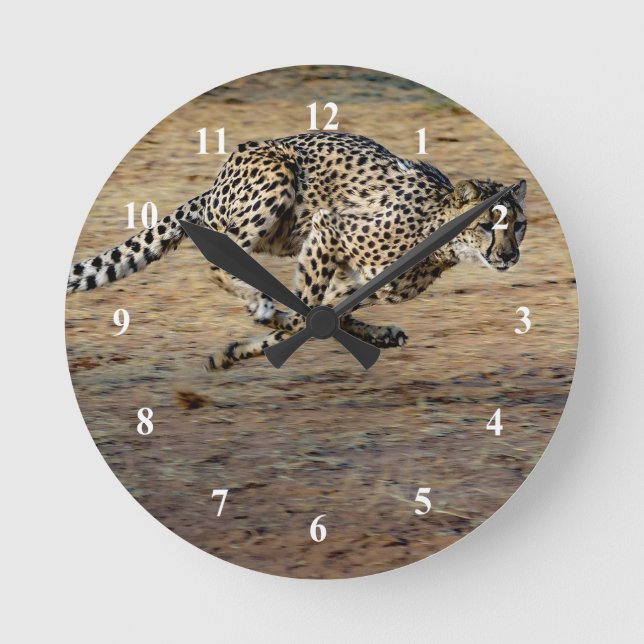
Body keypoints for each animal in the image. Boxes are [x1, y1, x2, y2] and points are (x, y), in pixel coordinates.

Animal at [67, 132, 527, 370]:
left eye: (518, 226)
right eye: (487, 224)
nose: (509, 256)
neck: (440, 235)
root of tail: (216, 182)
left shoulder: (356, 278)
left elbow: (333, 313)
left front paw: (235, 351)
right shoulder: (329, 228)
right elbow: (309, 310)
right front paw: (269, 330)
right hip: (278, 174)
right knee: (220, 263)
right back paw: (261, 304)